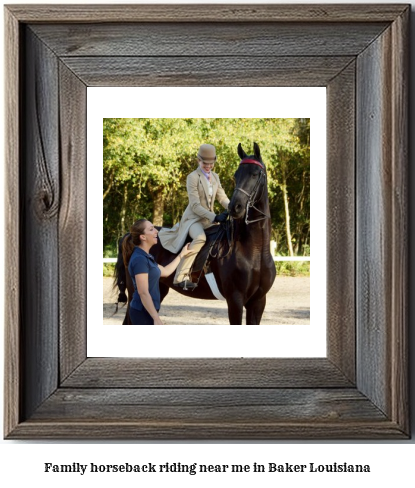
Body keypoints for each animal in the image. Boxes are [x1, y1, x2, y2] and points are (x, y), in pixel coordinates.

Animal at [114, 141, 276, 324]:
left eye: (255, 174)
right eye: (236, 175)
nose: (235, 207)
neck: (254, 250)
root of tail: (129, 235)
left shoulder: (258, 301)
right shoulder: (235, 300)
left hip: (159, 289)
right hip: (137, 291)